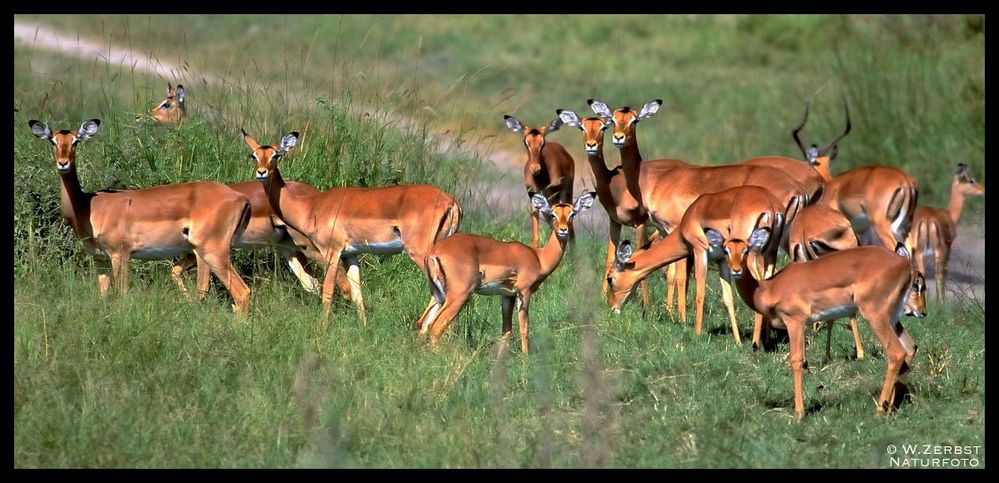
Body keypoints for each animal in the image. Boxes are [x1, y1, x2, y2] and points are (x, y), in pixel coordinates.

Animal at [30, 119, 252, 312]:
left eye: (76, 140)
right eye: (53, 141)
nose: (63, 163)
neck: (88, 206)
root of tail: (240, 198)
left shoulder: (120, 255)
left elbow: (122, 294)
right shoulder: (99, 259)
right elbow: (103, 296)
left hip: (212, 252)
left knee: (242, 292)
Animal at [418, 191, 596, 354]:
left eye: (572, 214)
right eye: (553, 214)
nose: (563, 230)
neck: (538, 258)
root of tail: (434, 252)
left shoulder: (507, 295)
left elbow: (506, 331)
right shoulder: (524, 292)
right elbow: (524, 328)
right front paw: (526, 359)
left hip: (439, 295)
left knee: (423, 324)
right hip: (459, 295)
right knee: (435, 326)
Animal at [504, 115, 576, 248]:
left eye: (542, 142)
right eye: (525, 142)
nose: (535, 168)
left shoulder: (554, 196)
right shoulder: (533, 195)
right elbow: (536, 235)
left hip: (566, 193)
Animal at [908, 164, 984, 304]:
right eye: (971, 180)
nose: (983, 189)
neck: (949, 214)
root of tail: (926, 219)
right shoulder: (948, 246)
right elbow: (943, 272)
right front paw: (941, 302)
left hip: (915, 249)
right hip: (935, 248)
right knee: (934, 272)